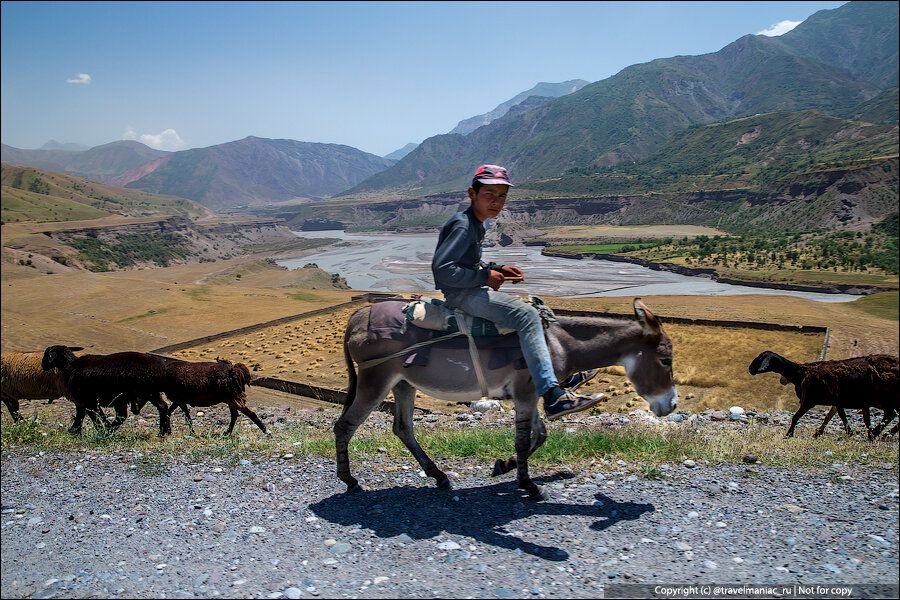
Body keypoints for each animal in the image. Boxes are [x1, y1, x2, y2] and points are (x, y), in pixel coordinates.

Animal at [40, 346, 171, 436]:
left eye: (46, 355)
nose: (43, 366)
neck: (69, 366)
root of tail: (160, 368)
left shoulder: (85, 399)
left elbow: (89, 415)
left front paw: (80, 430)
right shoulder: (88, 401)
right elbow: (91, 414)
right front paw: (76, 430)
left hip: (133, 394)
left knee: (122, 416)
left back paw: (108, 431)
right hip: (151, 393)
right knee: (163, 406)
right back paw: (164, 431)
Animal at [744, 350, 900, 438]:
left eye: (760, 358)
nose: (750, 369)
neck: (801, 373)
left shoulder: (810, 400)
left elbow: (795, 417)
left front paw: (789, 434)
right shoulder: (838, 401)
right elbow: (833, 417)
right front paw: (819, 434)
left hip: (883, 398)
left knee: (890, 414)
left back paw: (880, 434)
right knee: (890, 415)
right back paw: (879, 434)